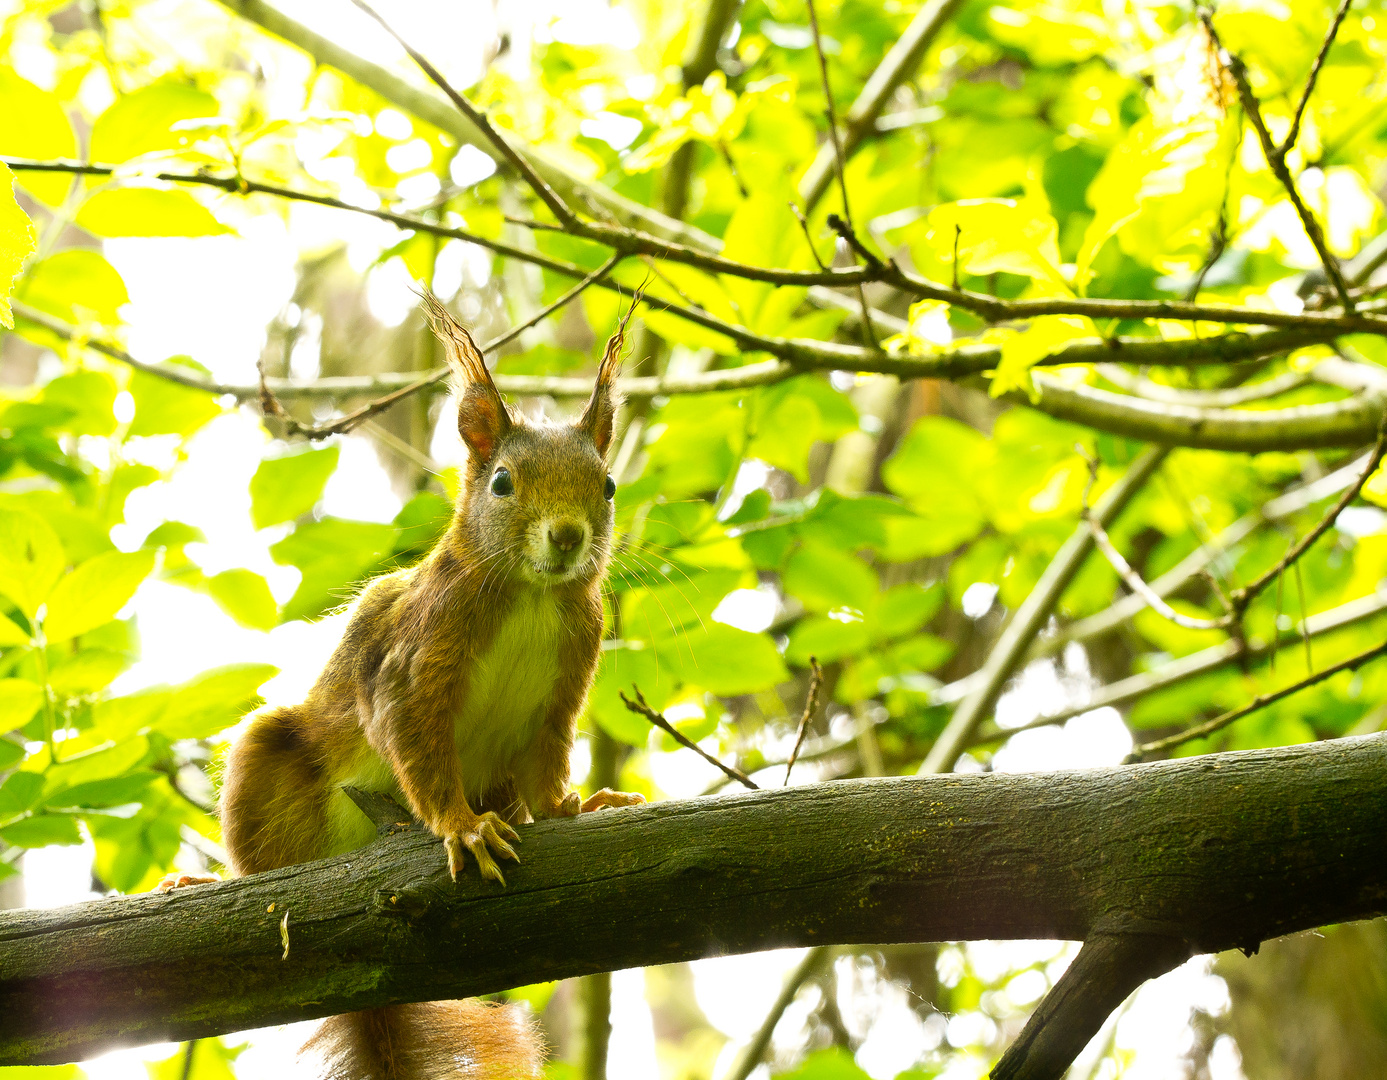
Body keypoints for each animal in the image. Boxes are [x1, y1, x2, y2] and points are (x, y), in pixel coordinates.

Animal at [163, 291, 643, 1075]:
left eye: (605, 485)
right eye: (502, 482)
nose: (568, 535)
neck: (532, 595)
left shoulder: (566, 682)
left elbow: (546, 761)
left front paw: (576, 805)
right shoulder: (416, 655)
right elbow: (411, 736)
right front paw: (460, 826)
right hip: (270, 768)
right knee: (261, 858)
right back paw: (217, 882)